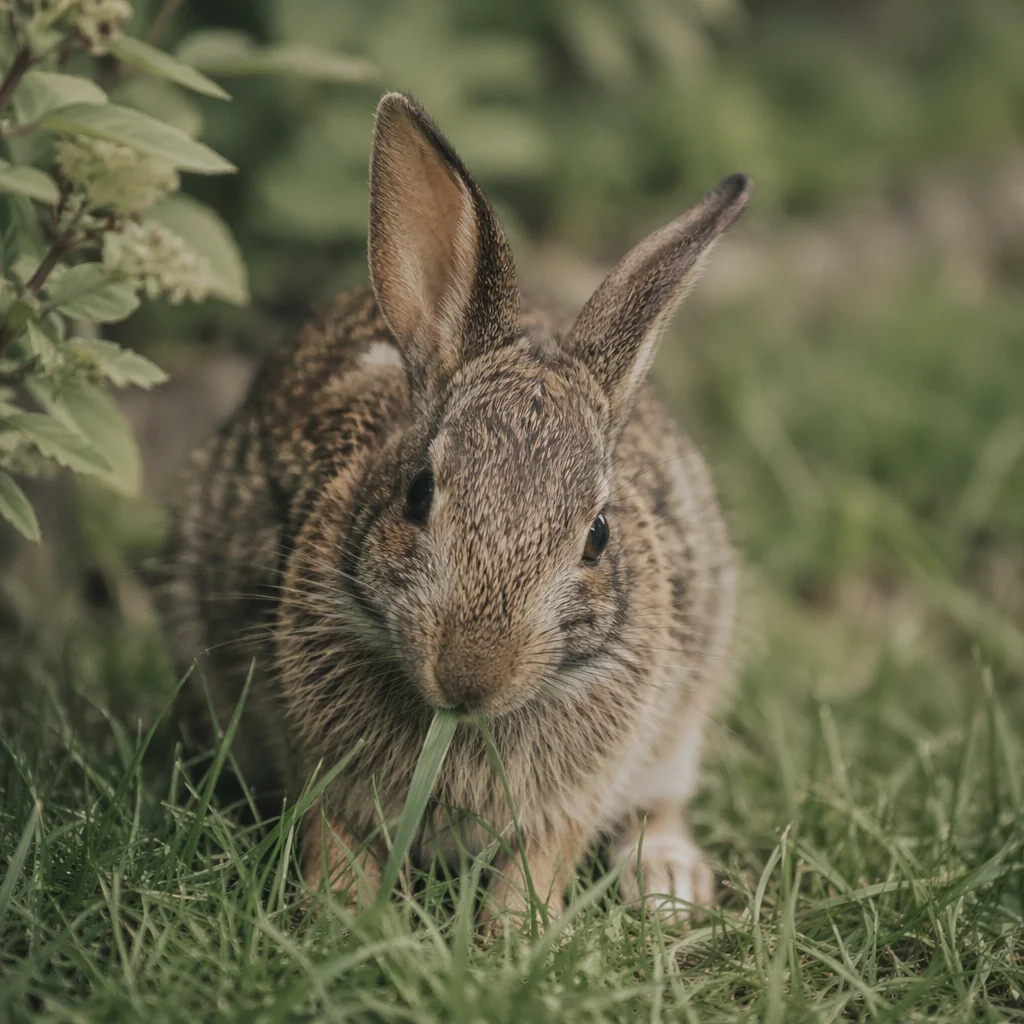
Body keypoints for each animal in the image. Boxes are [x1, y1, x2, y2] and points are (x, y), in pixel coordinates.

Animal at [164, 91, 752, 923]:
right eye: (418, 494)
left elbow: (541, 860)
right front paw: (345, 921)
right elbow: (334, 838)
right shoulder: (323, 764)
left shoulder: (576, 792)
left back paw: (669, 887)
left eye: (597, 536)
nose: (470, 674)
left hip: (685, 711)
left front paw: (513, 934)